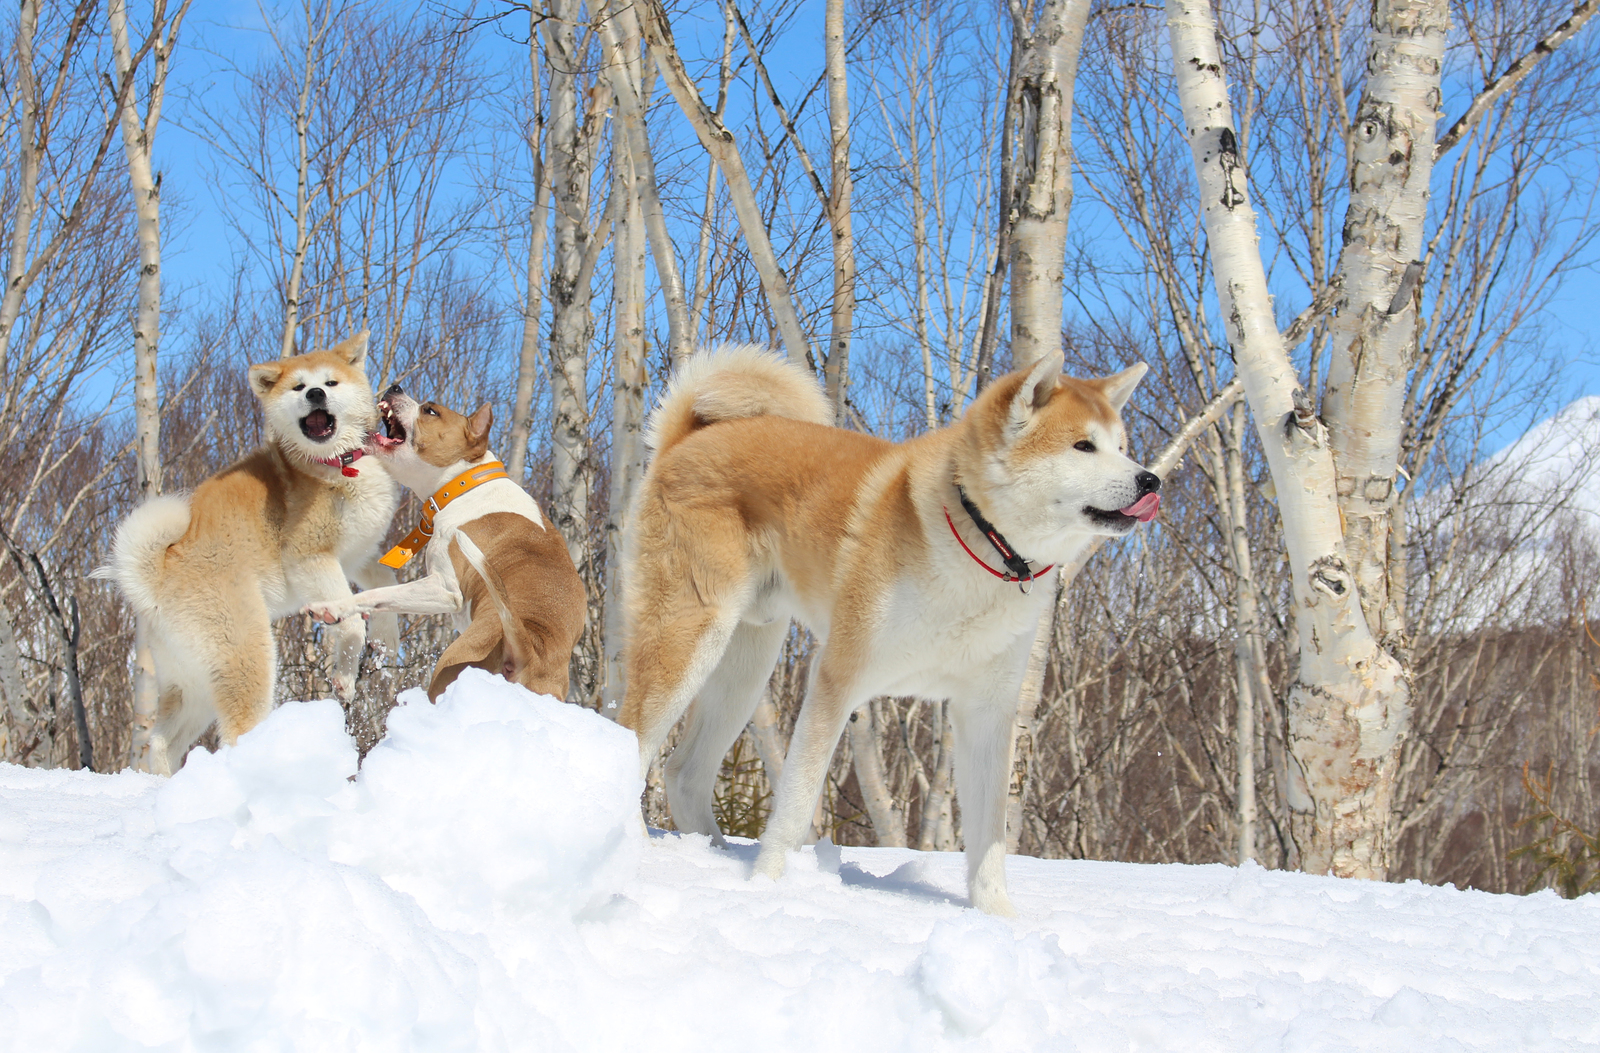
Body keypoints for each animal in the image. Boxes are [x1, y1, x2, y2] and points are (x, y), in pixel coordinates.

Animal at [96, 334, 400, 771]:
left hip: (194, 687)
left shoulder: (356, 555)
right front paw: (344, 675)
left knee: (159, 740)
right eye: (298, 386)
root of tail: (155, 576)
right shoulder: (309, 558)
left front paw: (387, 640)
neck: (336, 465)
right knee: (236, 731)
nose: (315, 393)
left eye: (331, 382)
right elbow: (350, 621)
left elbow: (386, 582)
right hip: (245, 653)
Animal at [624, 342, 1164, 908]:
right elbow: (795, 806)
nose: (1151, 479)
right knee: (631, 740)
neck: (982, 544)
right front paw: (767, 888)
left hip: (746, 667)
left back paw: (712, 856)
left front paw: (997, 916)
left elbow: (989, 840)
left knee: (683, 773)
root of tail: (687, 438)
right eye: (1083, 445)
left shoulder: (987, 710)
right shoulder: (837, 678)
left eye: (1123, 447)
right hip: (691, 639)